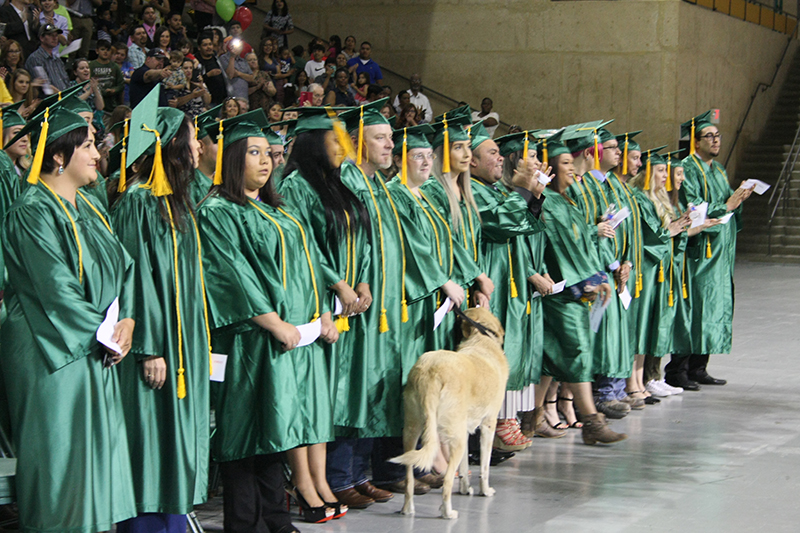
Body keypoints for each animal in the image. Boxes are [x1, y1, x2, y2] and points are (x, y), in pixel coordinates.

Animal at [390, 306, 510, 516]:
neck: (482, 339)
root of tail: (431, 373)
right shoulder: (488, 425)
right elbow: (484, 467)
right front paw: (485, 491)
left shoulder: (465, 429)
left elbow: (463, 468)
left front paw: (465, 489)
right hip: (456, 437)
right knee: (446, 481)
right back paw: (448, 513)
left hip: (413, 432)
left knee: (409, 478)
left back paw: (407, 510)